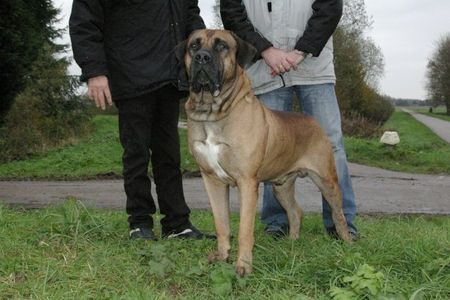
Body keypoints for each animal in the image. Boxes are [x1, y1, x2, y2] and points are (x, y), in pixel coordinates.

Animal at [178, 29, 354, 276]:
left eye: (222, 46)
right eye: (194, 45)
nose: (202, 57)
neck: (212, 111)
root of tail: (311, 121)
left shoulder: (247, 182)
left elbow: (244, 229)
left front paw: (243, 266)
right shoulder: (212, 180)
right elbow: (221, 223)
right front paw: (222, 256)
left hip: (326, 179)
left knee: (338, 214)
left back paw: (347, 243)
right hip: (281, 185)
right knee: (295, 211)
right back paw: (292, 242)